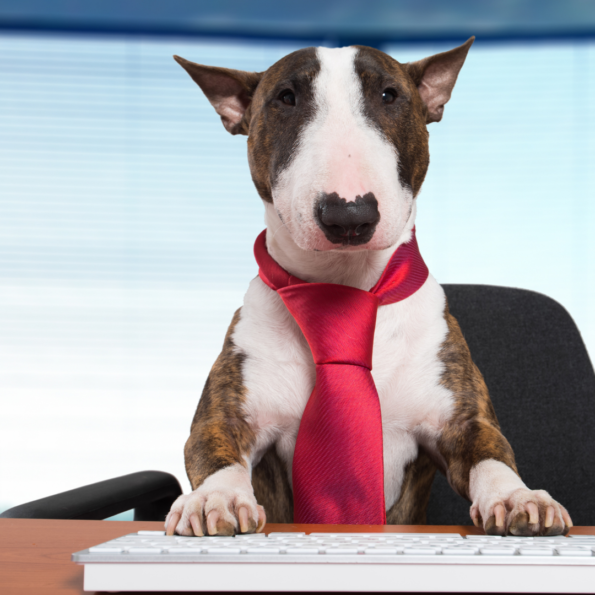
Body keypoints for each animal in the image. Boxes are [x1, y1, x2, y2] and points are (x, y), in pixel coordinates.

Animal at [164, 39, 572, 536]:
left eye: (390, 95)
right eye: (286, 98)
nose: (349, 215)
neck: (346, 283)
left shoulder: (461, 422)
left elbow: (492, 454)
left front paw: (518, 498)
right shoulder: (225, 418)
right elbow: (214, 448)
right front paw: (215, 499)